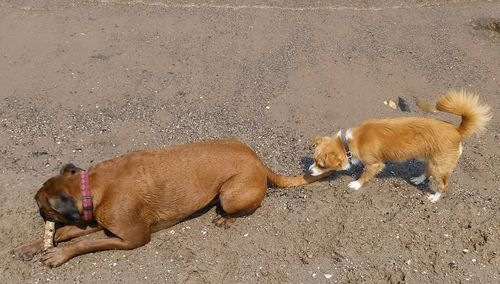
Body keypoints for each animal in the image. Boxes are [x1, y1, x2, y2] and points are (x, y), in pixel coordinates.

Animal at [13, 139, 324, 268]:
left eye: (42, 207)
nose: (40, 215)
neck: (90, 186)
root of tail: (257, 160)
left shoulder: (132, 237)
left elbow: (84, 243)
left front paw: (58, 255)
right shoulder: (95, 219)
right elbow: (66, 232)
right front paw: (31, 246)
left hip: (230, 194)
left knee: (251, 205)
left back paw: (227, 217)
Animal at [308, 90, 492, 203]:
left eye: (321, 165)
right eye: (313, 160)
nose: (309, 171)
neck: (349, 142)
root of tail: (456, 130)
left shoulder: (375, 164)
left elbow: (365, 175)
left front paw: (357, 184)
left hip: (439, 166)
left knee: (443, 184)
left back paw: (435, 197)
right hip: (430, 160)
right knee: (427, 172)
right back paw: (419, 179)